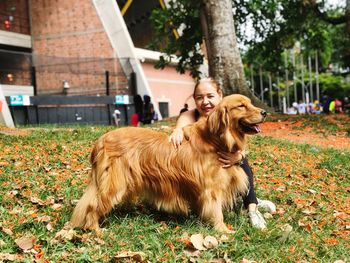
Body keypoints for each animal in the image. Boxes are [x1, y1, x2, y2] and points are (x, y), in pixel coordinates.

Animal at [71, 94, 266, 233]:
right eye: (241, 106)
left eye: (250, 103)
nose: (265, 112)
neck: (216, 140)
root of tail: (101, 140)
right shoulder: (212, 189)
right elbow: (216, 211)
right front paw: (223, 231)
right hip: (114, 184)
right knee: (92, 206)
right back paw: (96, 229)